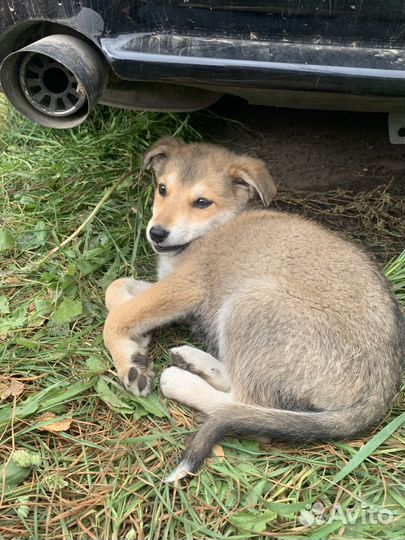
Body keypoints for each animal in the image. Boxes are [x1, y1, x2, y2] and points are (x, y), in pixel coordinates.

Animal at [102, 136, 402, 480]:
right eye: (162, 189)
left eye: (202, 202)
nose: (156, 233)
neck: (214, 228)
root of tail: (381, 388)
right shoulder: (169, 284)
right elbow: (116, 290)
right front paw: (139, 341)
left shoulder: (185, 286)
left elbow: (117, 317)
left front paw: (131, 365)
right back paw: (194, 360)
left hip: (249, 302)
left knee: (243, 404)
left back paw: (179, 379)